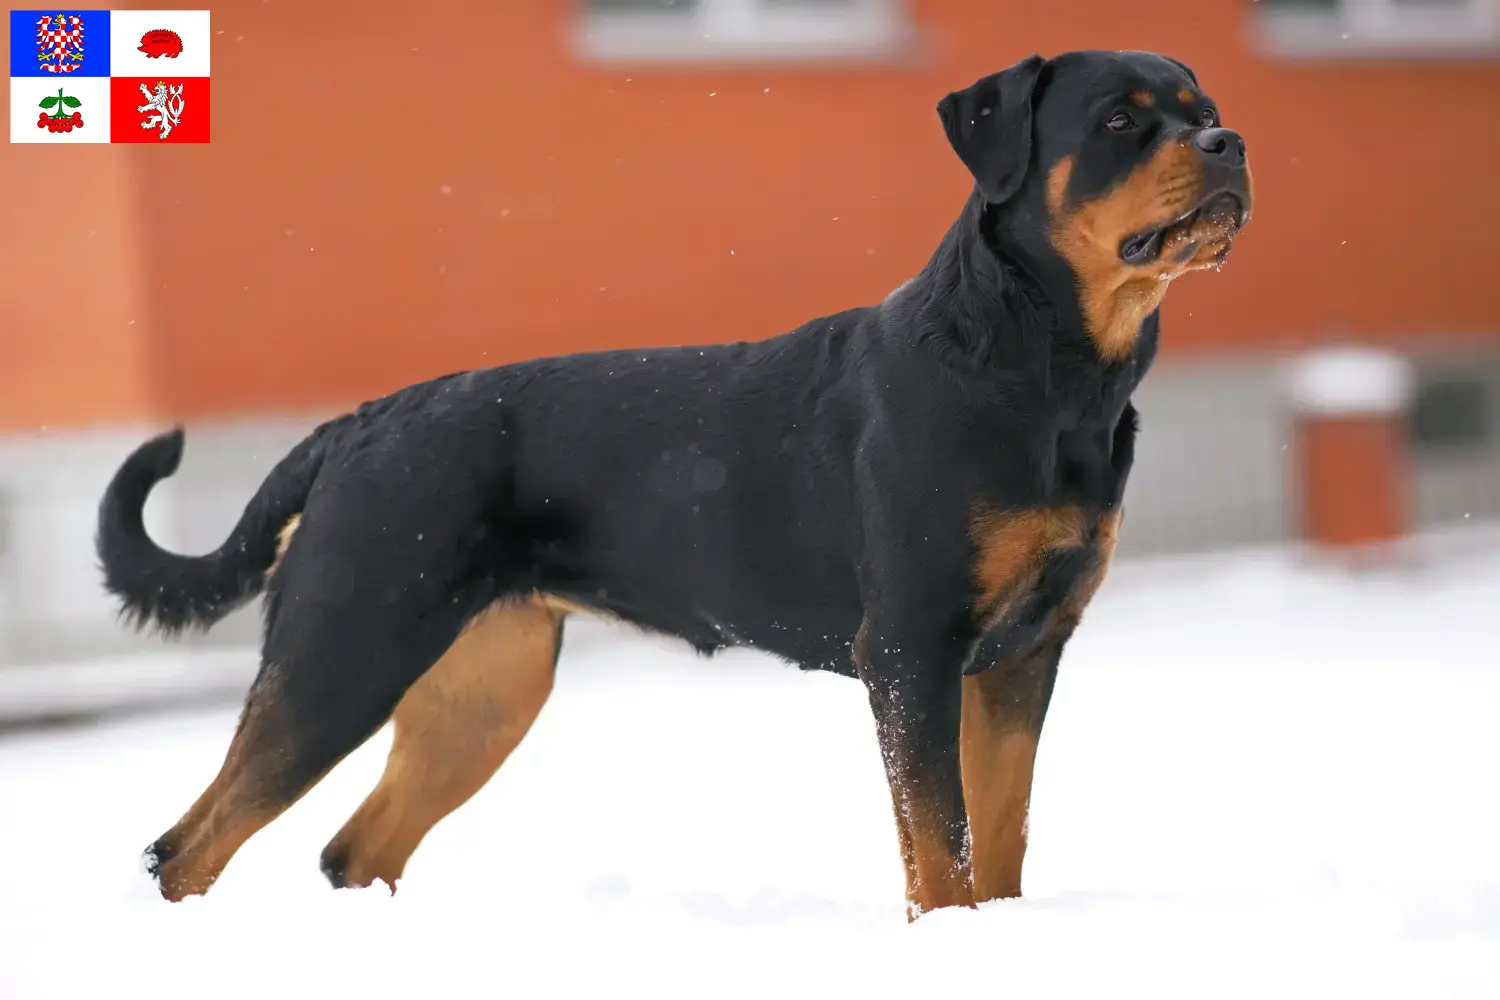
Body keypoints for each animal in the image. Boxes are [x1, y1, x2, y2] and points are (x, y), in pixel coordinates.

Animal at [96, 50, 1254, 917]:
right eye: (1120, 120)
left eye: (1203, 113)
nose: (1228, 143)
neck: (1047, 371)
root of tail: (358, 422)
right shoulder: (909, 650)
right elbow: (941, 843)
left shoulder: (1025, 650)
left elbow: (1000, 833)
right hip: (345, 650)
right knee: (187, 846)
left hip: (483, 688)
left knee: (352, 850)